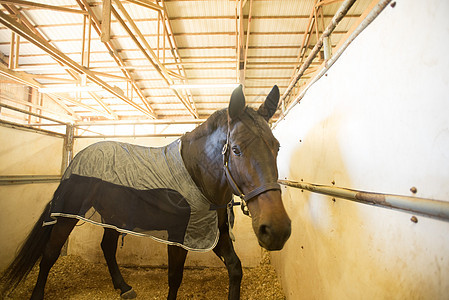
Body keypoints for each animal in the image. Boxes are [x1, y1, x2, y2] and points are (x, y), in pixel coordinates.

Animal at [0, 85, 290, 300]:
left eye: (276, 146)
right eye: (236, 149)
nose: (277, 230)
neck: (198, 176)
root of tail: (78, 157)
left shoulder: (212, 233)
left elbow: (235, 268)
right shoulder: (181, 235)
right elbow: (175, 277)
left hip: (113, 217)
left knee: (107, 248)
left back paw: (124, 288)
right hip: (68, 213)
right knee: (50, 252)